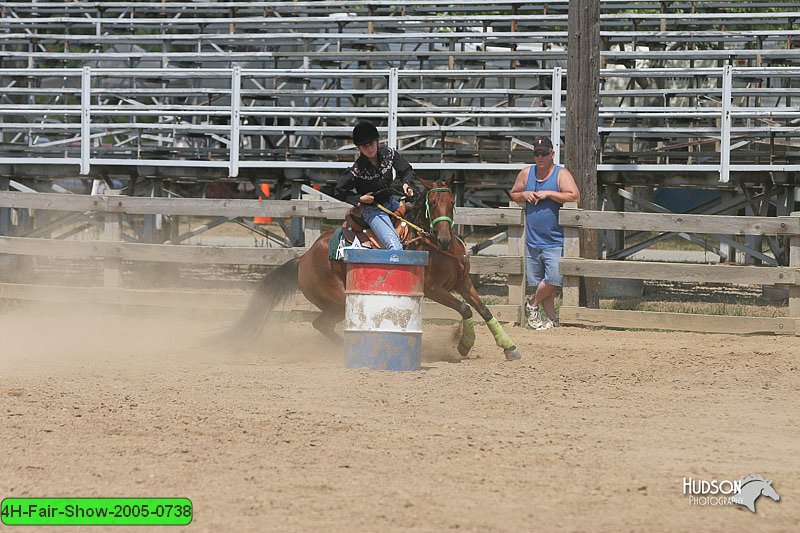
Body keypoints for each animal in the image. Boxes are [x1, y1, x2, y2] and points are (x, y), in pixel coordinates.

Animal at [220, 177, 520, 360]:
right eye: (432, 203)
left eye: (451, 203)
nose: (445, 238)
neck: (436, 247)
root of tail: (302, 259)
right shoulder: (433, 289)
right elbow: (466, 309)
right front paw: (463, 344)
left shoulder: (463, 282)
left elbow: (484, 310)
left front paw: (509, 347)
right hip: (338, 300)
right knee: (322, 323)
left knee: (321, 324)